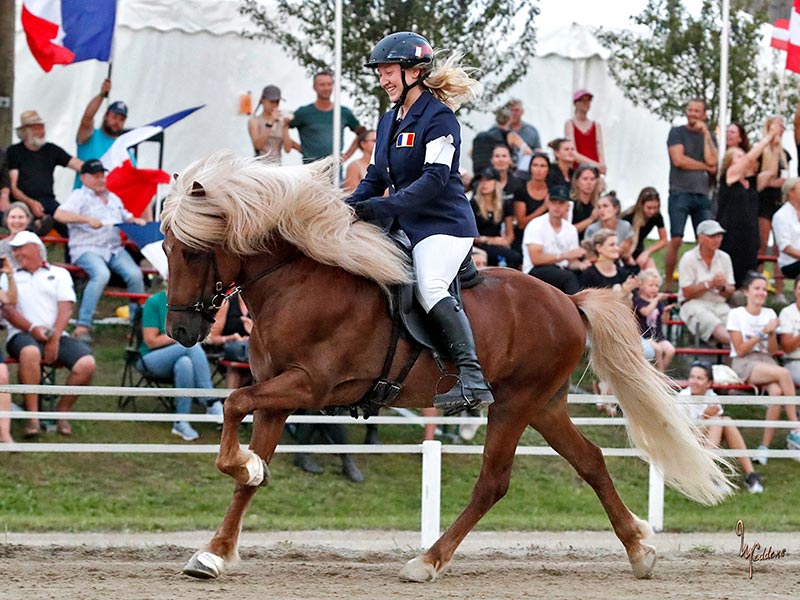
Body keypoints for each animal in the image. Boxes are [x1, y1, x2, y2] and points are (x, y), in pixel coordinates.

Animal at [159, 152, 728, 584]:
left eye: (193, 252)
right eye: (164, 248)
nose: (181, 331)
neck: (294, 281)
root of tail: (568, 300)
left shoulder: (307, 386)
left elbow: (233, 408)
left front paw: (241, 469)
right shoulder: (277, 395)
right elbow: (246, 467)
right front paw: (215, 550)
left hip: (514, 404)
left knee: (493, 482)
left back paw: (428, 560)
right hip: (544, 405)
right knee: (589, 461)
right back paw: (639, 549)